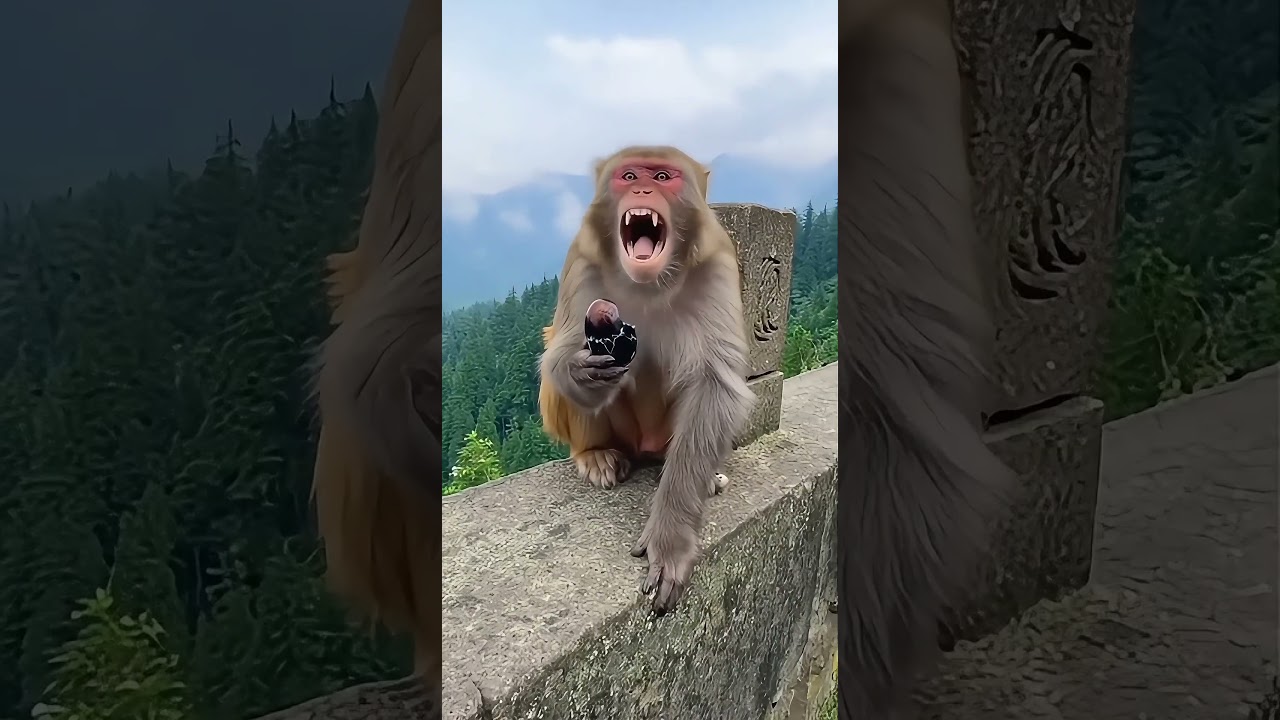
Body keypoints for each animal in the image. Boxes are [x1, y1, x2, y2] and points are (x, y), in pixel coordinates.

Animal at [537, 146, 755, 613]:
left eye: (662, 176)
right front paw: (582, 371)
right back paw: (596, 454)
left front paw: (670, 540)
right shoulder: (581, 259)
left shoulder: (717, 263)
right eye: (629, 175)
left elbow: (715, 383)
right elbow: (558, 352)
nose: (641, 190)